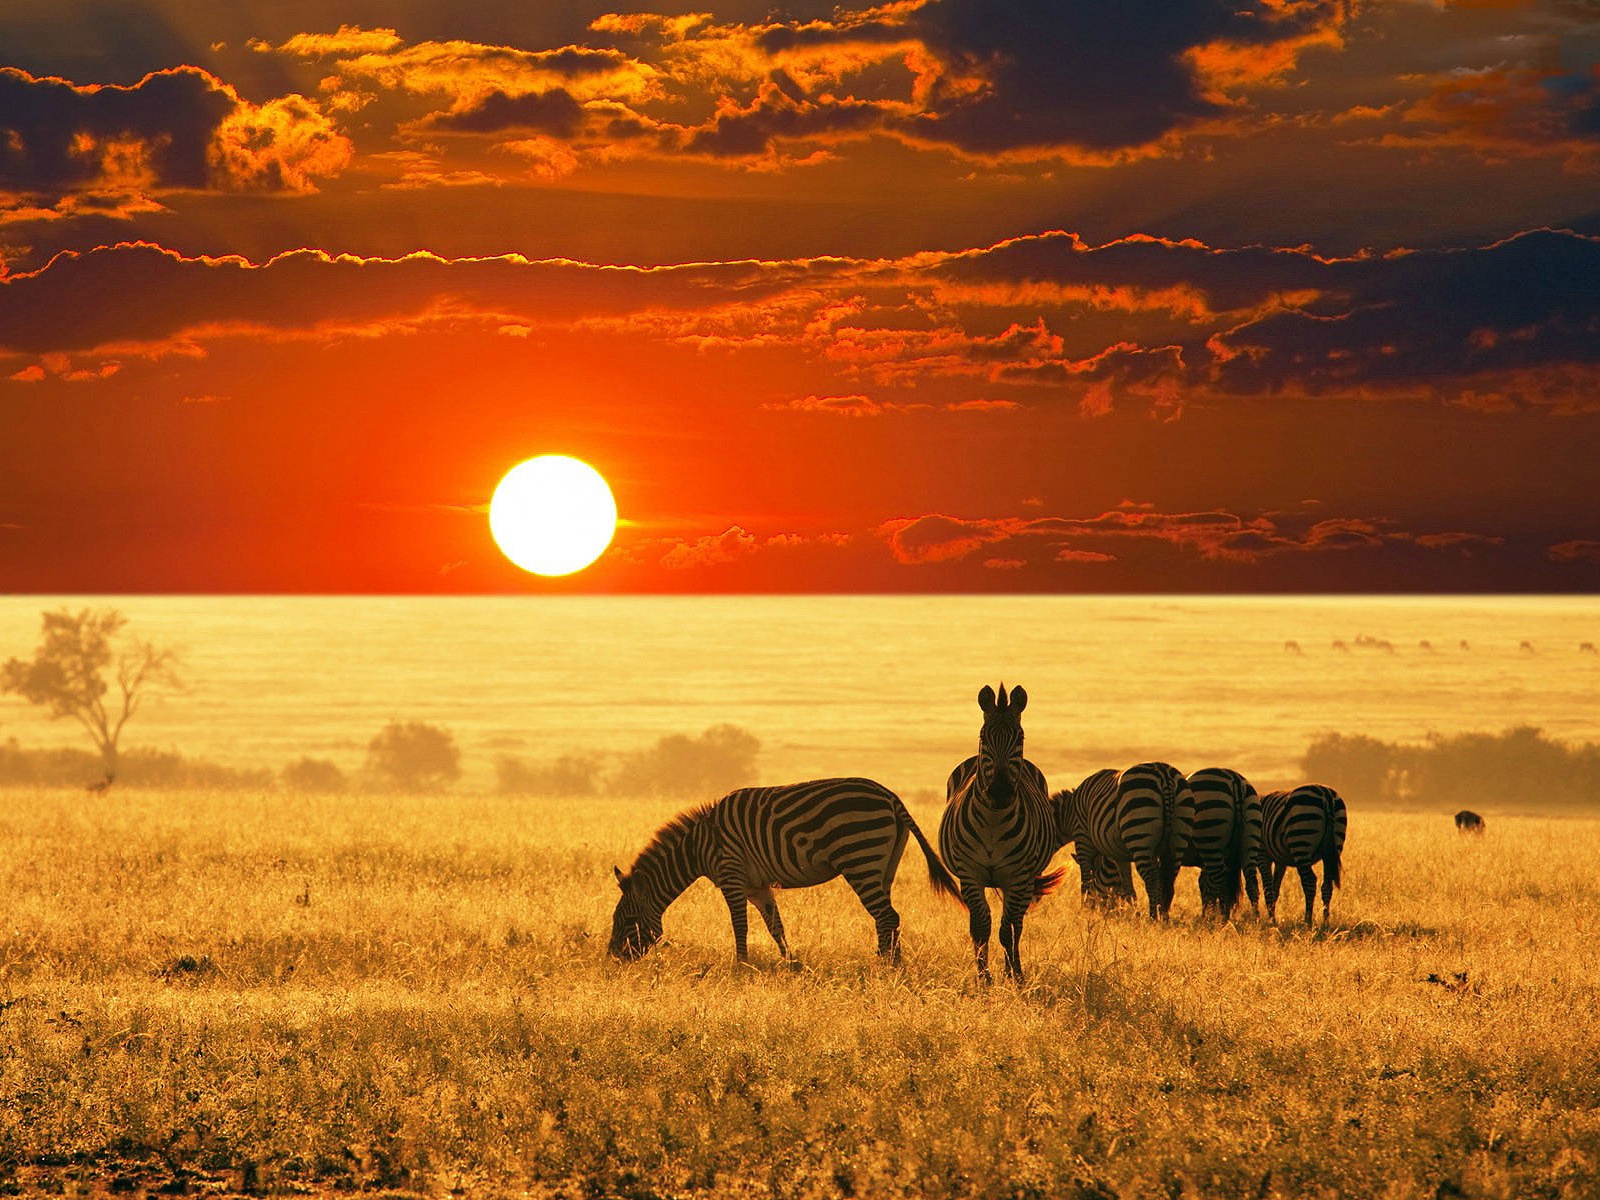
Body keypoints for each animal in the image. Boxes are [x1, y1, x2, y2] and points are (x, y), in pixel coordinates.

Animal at [604, 780, 953, 966]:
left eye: (625, 919)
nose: (612, 960)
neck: (698, 845)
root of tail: (890, 796)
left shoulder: (731, 875)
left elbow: (740, 925)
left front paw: (741, 967)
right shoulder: (756, 885)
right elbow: (776, 926)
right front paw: (790, 963)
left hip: (860, 857)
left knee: (887, 916)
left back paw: (886, 968)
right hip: (884, 865)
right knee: (886, 918)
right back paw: (887, 964)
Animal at [934, 684, 1062, 985]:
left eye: (1020, 737)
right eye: (984, 737)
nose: (1000, 791)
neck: (993, 820)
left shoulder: (1017, 876)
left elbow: (1007, 930)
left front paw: (1013, 976)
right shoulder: (969, 873)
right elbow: (981, 927)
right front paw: (984, 979)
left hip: (1023, 881)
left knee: (1017, 924)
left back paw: (1016, 969)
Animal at [1056, 764, 1196, 928]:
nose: (1094, 909)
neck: (1069, 814)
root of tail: (1164, 775)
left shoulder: (1083, 840)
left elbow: (1085, 881)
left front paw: (1083, 912)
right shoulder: (1121, 855)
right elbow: (1129, 887)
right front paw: (1136, 914)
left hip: (1139, 830)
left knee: (1151, 879)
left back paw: (1153, 918)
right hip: (1179, 835)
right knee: (1168, 880)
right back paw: (1164, 917)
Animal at [1177, 771, 1260, 921]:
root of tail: (1234, 779)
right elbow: (1205, 887)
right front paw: (1206, 916)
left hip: (1210, 836)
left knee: (1223, 882)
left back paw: (1223, 921)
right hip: (1250, 838)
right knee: (1252, 883)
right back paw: (1256, 921)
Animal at [1241, 784, 1344, 928]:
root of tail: (1326, 796)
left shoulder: (1262, 855)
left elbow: (1266, 888)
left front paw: (1270, 920)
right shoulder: (1280, 861)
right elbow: (1275, 889)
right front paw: (1272, 918)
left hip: (1301, 842)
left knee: (1310, 882)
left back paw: (1307, 922)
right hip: (1332, 850)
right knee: (1327, 886)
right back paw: (1325, 923)